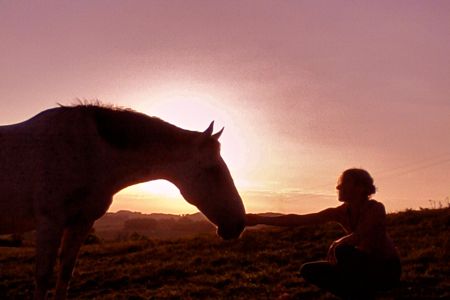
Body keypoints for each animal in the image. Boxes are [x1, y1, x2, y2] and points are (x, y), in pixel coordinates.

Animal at [0, 104, 246, 298]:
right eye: (213, 169)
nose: (239, 223)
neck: (89, 150)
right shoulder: (49, 222)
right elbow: (43, 277)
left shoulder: (81, 222)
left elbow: (66, 273)